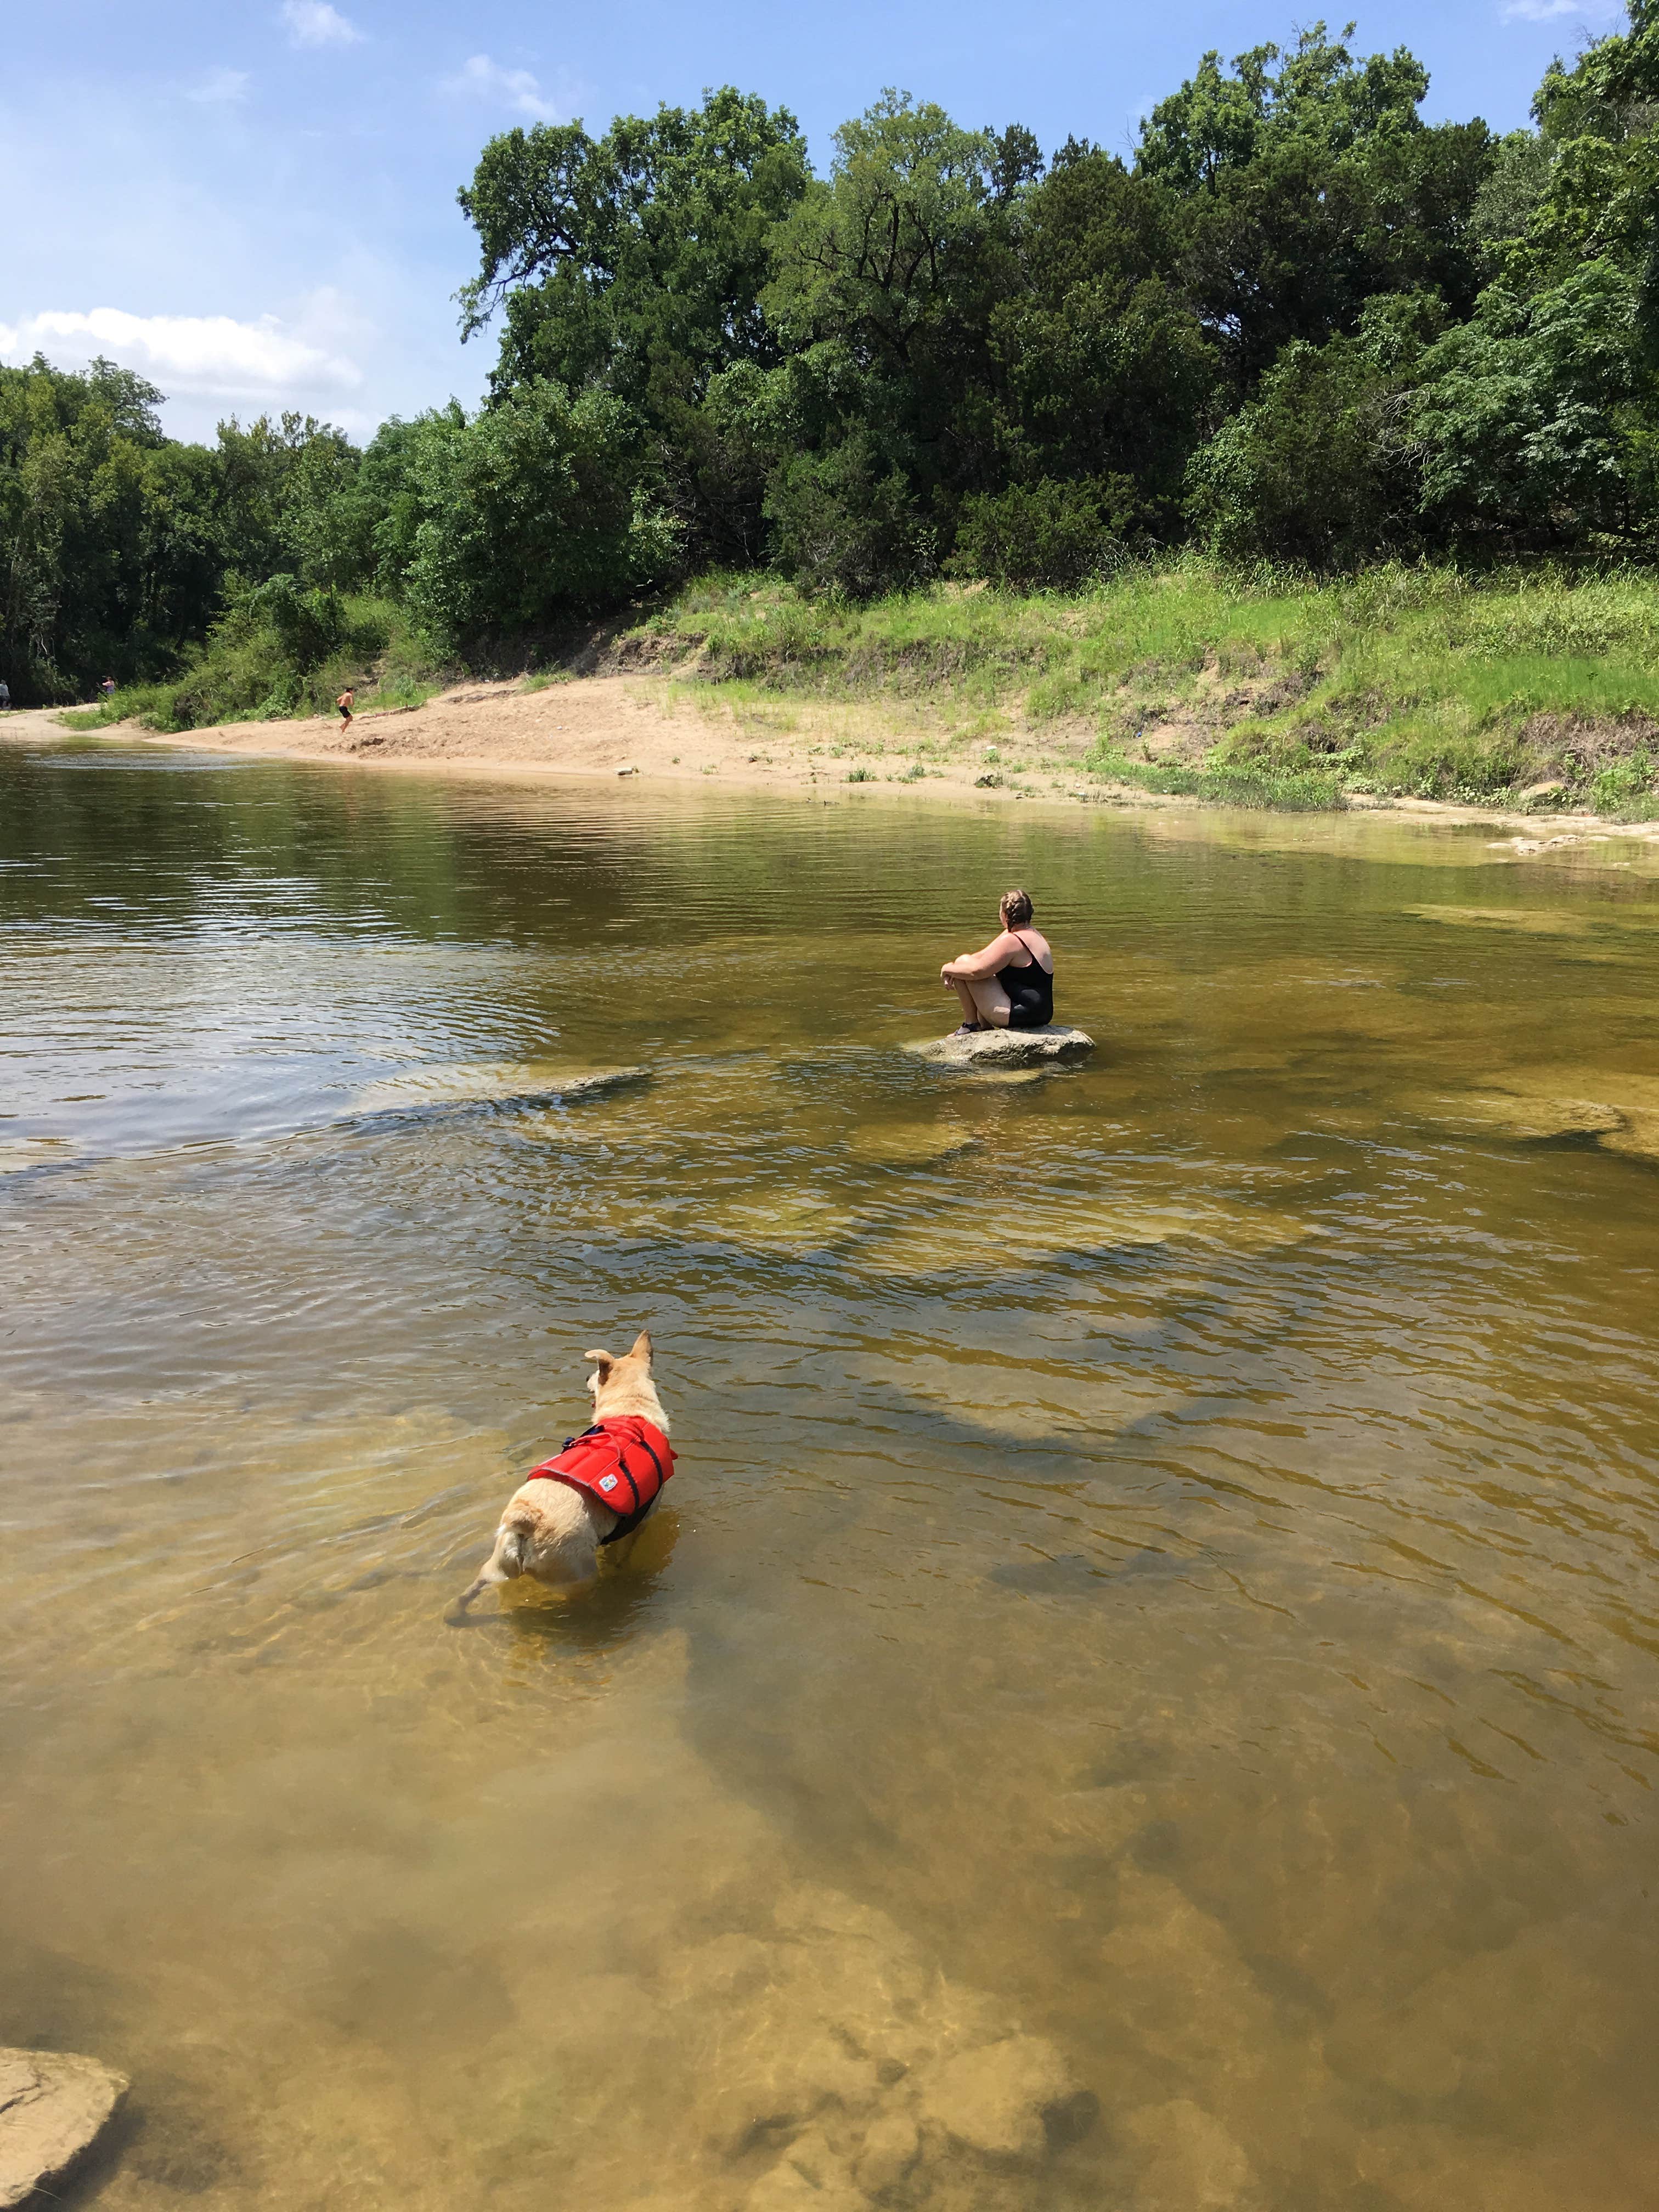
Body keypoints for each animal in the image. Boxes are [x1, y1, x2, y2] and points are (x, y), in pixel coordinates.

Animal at [451, 1327, 672, 1610]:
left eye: (596, 1374)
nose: (587, 1376)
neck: (630, 1407)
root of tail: (527, 1521)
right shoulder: (644, 1518)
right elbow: (623, 1553)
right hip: (577, 1575)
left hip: (496, 1567)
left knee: (471, 1590)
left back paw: (455, 1613)